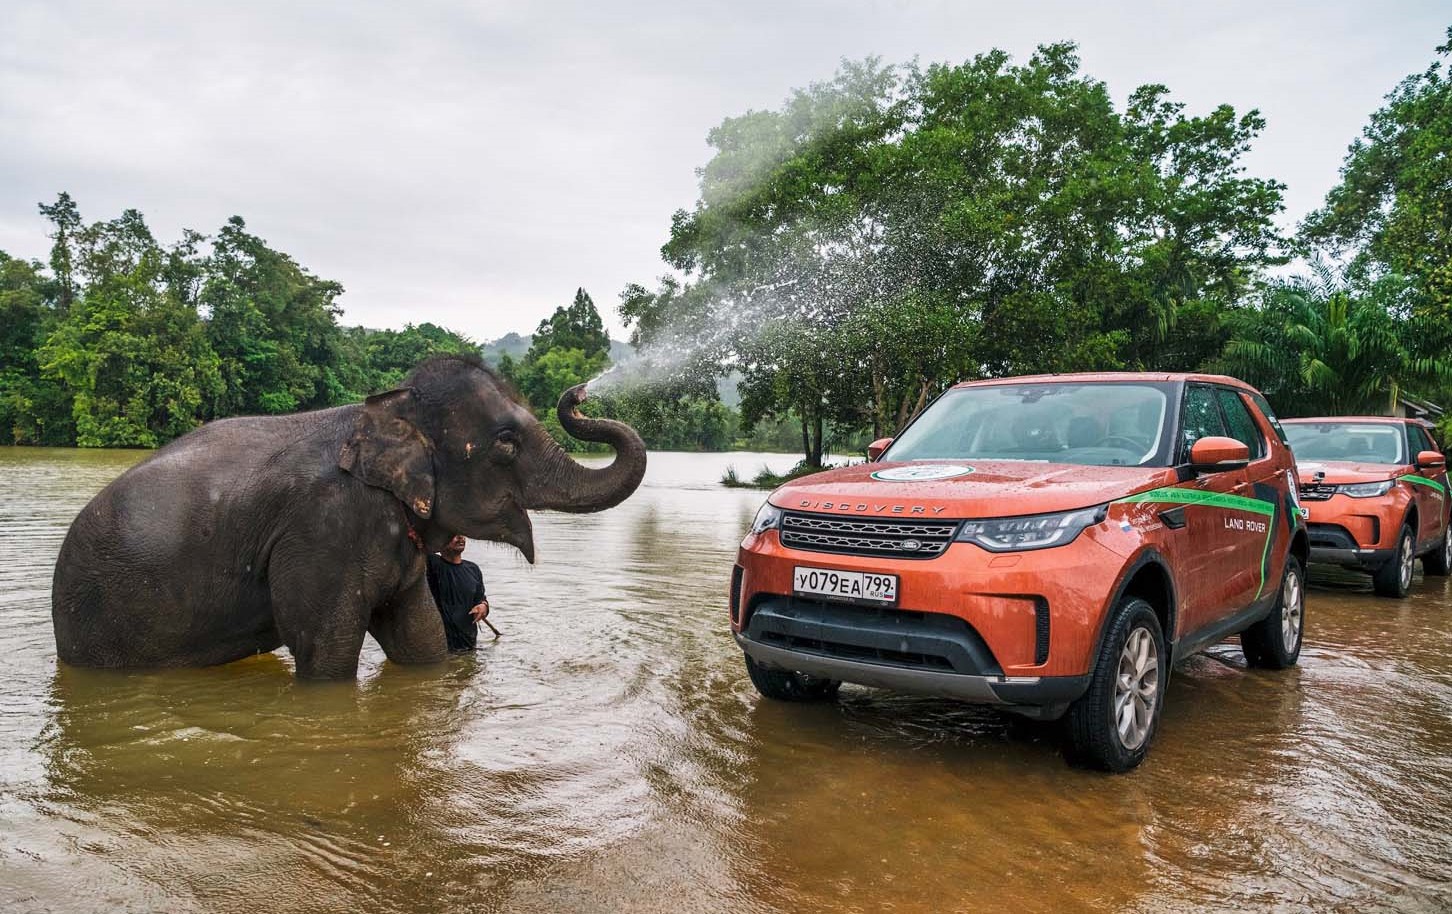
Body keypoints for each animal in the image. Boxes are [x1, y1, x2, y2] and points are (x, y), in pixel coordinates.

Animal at [51, 355, 646, 679]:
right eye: (505, 443)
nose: (580, 391)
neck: (386, 410)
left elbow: (421, 638)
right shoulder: (323, 530)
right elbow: (326, 652)